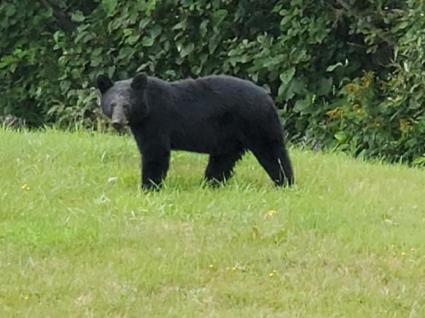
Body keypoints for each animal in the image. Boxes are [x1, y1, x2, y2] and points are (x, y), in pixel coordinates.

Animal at [96, 73, 294, 190]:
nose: (117, 122)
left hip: (256, 122)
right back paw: (209, 184)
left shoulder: (157, 122)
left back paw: (285, 182)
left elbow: (155, 152)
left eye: (127, 105)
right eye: (112, 104)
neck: (147, 107)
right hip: (230, 136)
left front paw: (149, 186)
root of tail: (267, 97)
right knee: (222, 160)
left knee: (272, 152)